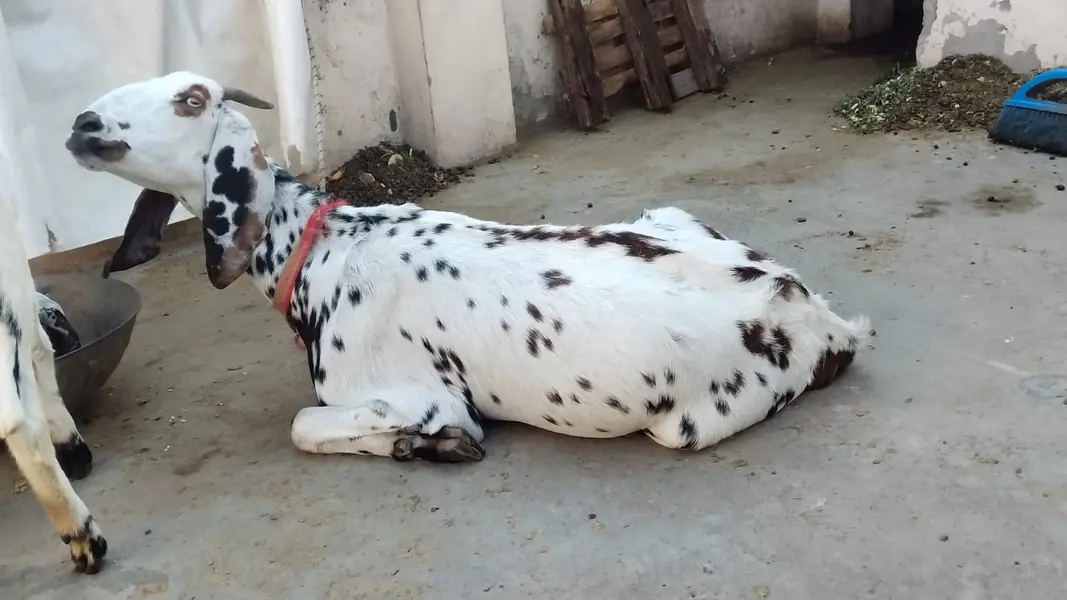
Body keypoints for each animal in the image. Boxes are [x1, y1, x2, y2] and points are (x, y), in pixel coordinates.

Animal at [65, 72, 873, 463]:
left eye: (190, 97)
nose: (82, 123)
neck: (324, 246)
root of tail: (823, 321)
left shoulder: (417, 396)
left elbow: (304, 424)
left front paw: (426, 446)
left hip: (684, 426)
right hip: (666, 215)